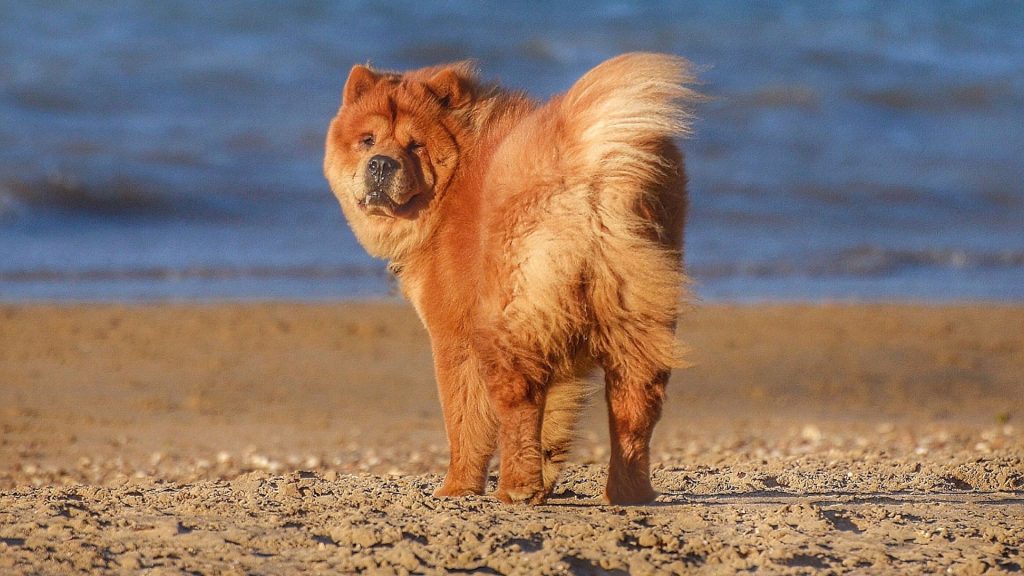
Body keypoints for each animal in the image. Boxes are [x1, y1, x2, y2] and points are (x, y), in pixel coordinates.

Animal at [323, 53, 700, 502]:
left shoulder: (452, 334)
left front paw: (458, 487)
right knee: (635, 402)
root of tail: (590, 166)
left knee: (518, 397)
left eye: (416, 145)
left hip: (506, 318)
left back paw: (514, 488)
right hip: (635, 313)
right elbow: (554, 415)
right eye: (367, 140)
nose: (381, 163)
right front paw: (546, 476)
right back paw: (628, 492)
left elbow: (464, 419)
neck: (452, 185)